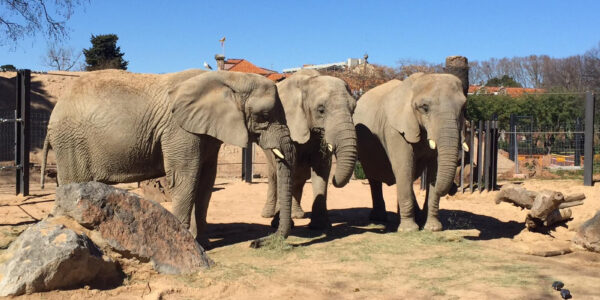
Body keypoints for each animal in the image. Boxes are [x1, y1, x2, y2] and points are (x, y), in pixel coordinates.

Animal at [38, 69, 296, 246]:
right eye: (264, 116)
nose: (257, 242)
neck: (228, 78)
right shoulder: (179, 130)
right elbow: (185, 178)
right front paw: (187, 240)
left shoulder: (204, 132)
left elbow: (206, 180)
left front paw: (201, 241)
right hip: (72, 143)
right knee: (72, 184)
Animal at [258, 70, 356, 229]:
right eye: (321, 110)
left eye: (353, 109)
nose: (335, 180)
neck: (308, 82)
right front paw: (277, 223)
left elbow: (322, 168)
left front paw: (320, 226)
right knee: (274, 175)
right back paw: (268, 215)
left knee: (299, 177)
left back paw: (297, 215)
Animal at [354, 72, 466, 232]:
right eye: (424, 107)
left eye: (463, 108)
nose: (454, 189)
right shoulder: (394, 130)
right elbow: (404, 167)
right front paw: (409, 229)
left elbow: (434, 169)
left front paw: (432, 228)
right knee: (374, 178)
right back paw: (379, 218)